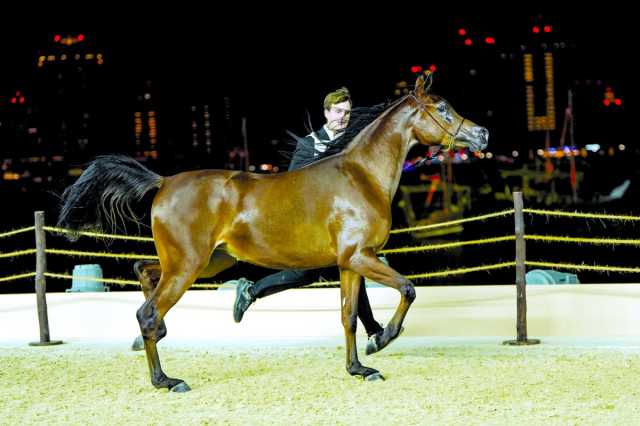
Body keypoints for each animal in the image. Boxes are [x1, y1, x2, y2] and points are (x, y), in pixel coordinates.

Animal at [58, 75, 484, 392]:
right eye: (442, 109)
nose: (482, 136)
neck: (361, 176)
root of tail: (163, 183)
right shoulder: (361, 257)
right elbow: (408, 289)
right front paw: (382, 339)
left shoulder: (350, 263)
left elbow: (348, 315)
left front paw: (360, 368)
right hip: (188, 266)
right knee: (147, 312)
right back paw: (167, 380)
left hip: (206, 261)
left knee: (143, 273)